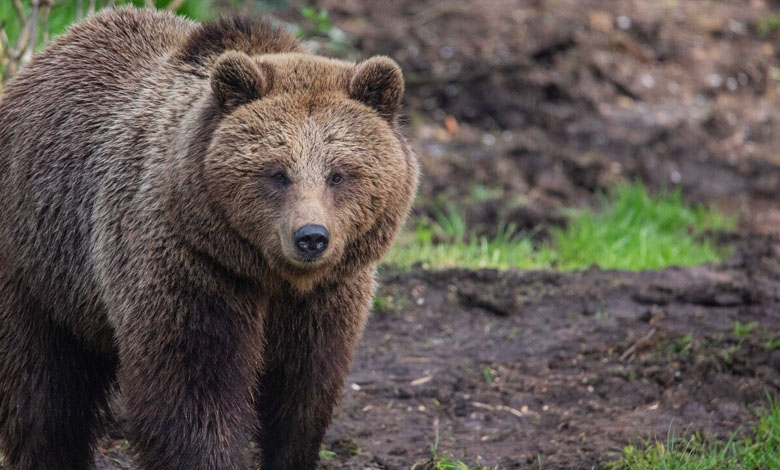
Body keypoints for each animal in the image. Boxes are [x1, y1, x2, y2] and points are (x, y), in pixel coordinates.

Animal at [0, 6, 420, 470]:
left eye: (339, 173)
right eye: (277, 172)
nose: (311, 237)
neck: (269, 275)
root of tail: (50, 52)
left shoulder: (326, 298)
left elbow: (303, 394)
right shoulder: (193, 268)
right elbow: (194, 390)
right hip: (39, 256)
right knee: (42, 386)